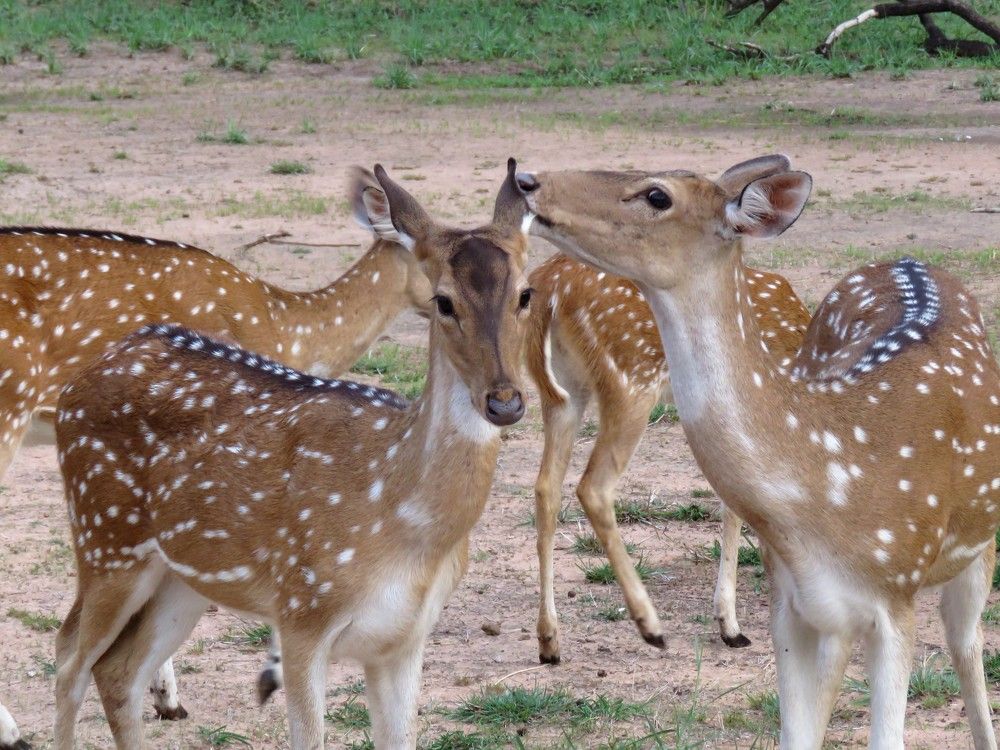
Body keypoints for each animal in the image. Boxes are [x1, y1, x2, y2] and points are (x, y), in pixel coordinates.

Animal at [52, 159, 531, 750]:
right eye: (444, 301)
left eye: (526, 294)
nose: (505, 400)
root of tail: (77, 383)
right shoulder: (303, 612)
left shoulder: (406, 638)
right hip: (105, 540)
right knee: (69, 657)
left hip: (180, 576)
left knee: (118, 670)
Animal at [525, 253, 809, 663]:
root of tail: (549, 287)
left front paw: (728, 624)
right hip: (630, 381)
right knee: (592, 487)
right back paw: (651, 626)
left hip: (563, 393)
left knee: (546, 488)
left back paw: (549, 642)